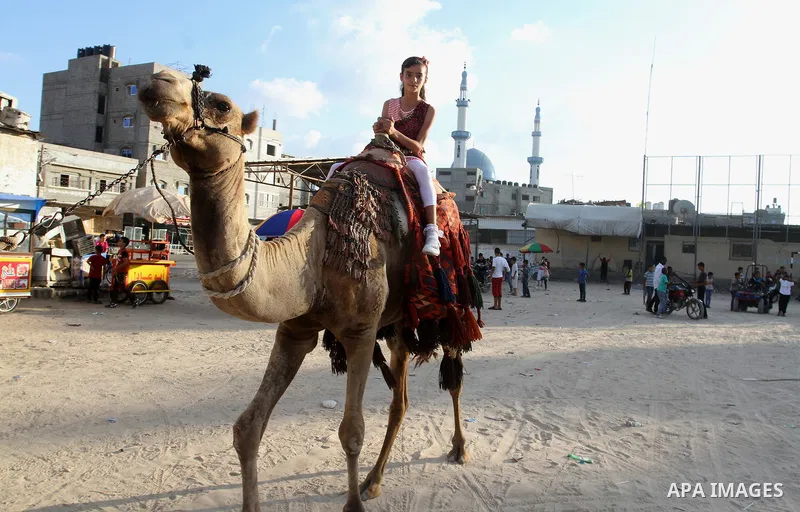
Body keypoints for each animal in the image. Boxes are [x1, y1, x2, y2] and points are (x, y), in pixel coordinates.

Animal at [137, 69, 470, 512]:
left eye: (223, 105)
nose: (158, 81)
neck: (316, 254)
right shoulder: (295, 329)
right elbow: (247, 427)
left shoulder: (361, 332)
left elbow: (351, 432)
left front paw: (353, 506)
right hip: (399, 320)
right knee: (400, 400)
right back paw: (374, 481)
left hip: (451, 302)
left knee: (453, 374)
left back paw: (459, 449)